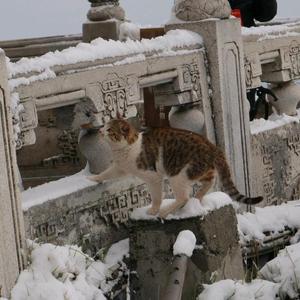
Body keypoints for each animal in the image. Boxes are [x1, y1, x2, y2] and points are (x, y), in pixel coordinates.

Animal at [87, 118, 262, 218]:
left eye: (109, 130)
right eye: (104, 126)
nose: (99, 130)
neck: (126, 149)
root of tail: (213, 147)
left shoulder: (153, 177)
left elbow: (157, 197)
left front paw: (154, 210)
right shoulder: (120, 168)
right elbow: (107, 173)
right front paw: (92, 178)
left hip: (178, 175)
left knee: (184, 197)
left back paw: (165, 212)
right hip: (198, 171)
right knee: (210, 181)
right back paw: (198, 197)